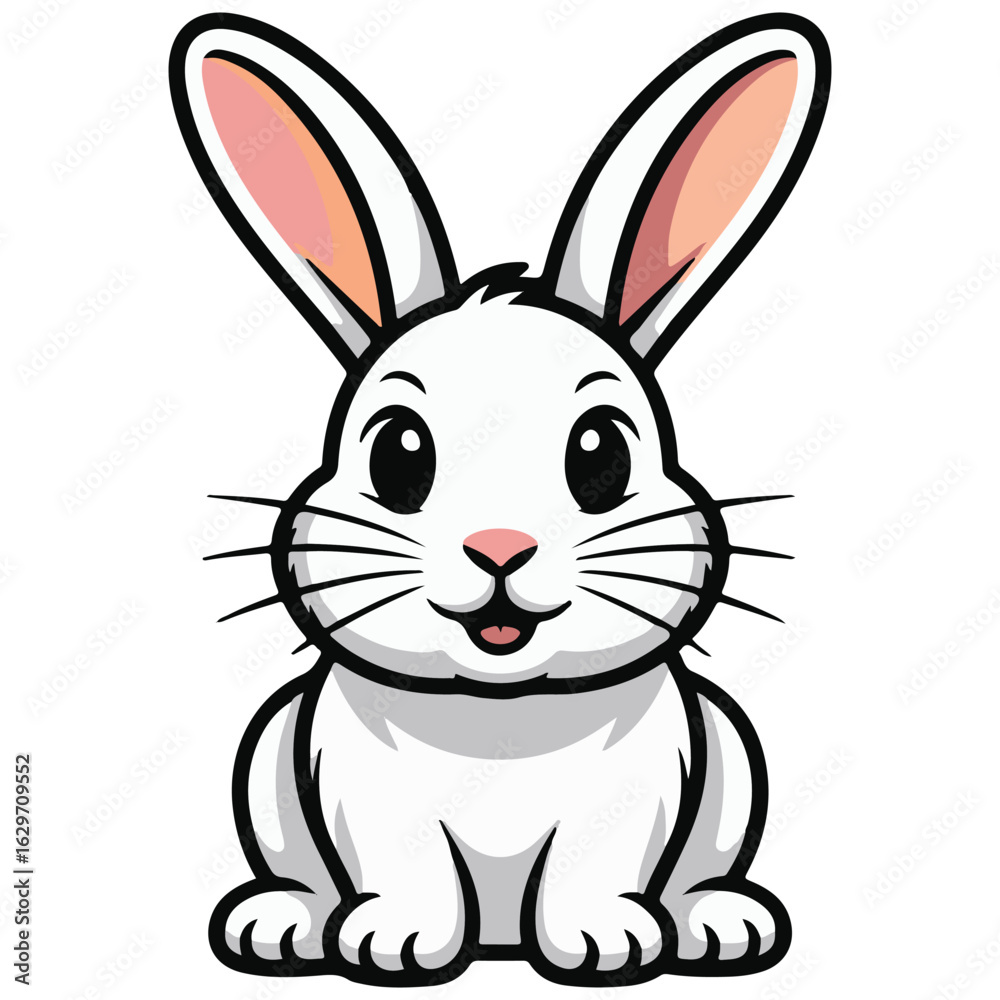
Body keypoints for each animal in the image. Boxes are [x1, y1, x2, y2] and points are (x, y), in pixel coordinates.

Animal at [170, 10, 830, 988]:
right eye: (397, 453)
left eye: (603, 452)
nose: (500, 547)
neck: (500, 715)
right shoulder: (360, 791)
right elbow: (404, 868)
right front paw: (396, 946)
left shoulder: (642, 787)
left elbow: (595, 865)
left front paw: (604, 946)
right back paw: (282, 924)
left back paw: (717, 923)